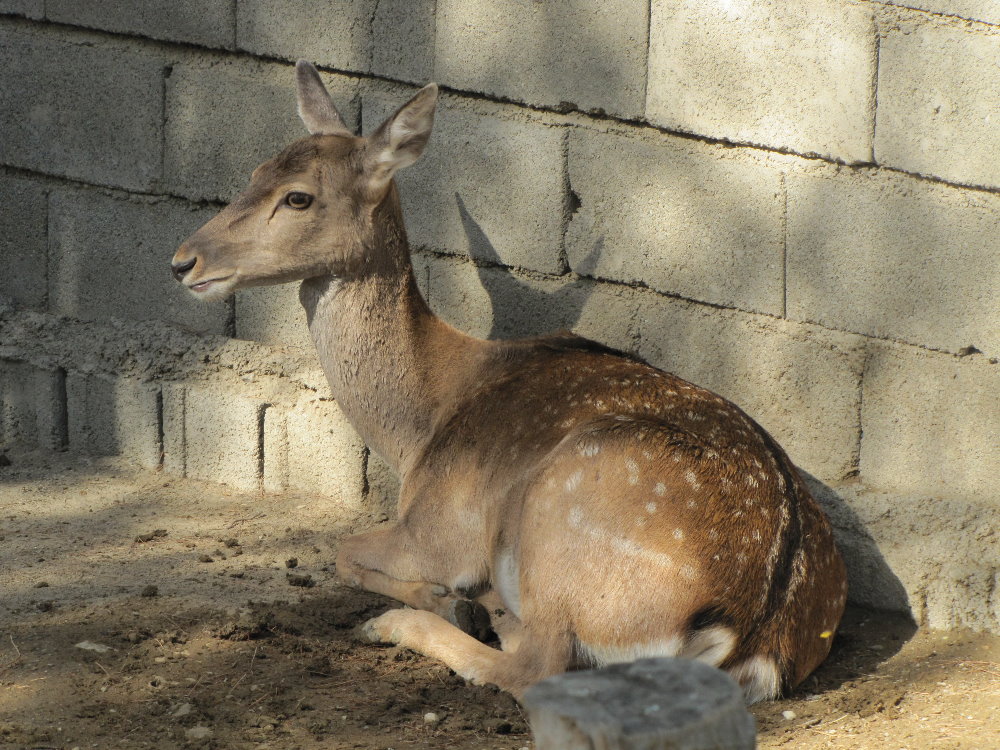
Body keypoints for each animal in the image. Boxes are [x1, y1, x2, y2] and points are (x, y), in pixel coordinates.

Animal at [171, 61, 847, 704]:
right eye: (255, 170)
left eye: (298, 198)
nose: (183, 261)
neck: (416, 431)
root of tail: (752, 634)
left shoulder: (438, 531)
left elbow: (342, 551)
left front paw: (450, 599)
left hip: (560, 518)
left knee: (536, 668)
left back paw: (423, 620)